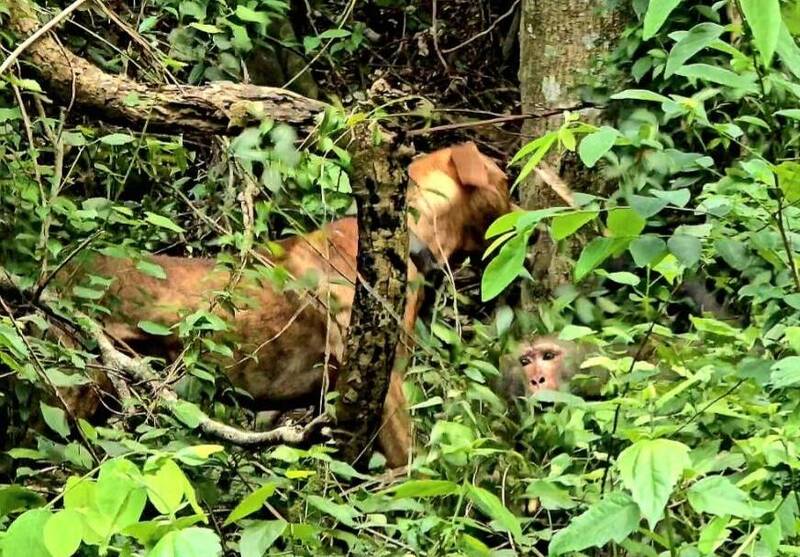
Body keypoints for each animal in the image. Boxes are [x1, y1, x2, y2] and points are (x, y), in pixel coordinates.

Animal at [57, 142, 512, 464]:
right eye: (506, 181)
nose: (529, 220)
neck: (408, 238)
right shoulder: (384, 377)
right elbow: (411, 463)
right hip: (74, 385)